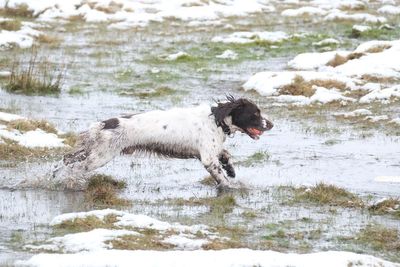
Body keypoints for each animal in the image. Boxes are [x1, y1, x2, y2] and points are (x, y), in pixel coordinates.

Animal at [51, 96, 274, 191]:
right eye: (255, 114)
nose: (271, 124)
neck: (216, 120)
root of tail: (104, 124)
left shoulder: (211, 151)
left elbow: (226, 154)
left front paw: (231, 170)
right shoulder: (207, 158)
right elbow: (221, 177)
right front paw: (230, 185)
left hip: (93, 150)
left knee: (65, 159)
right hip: (101, 155)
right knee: (75, 168)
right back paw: (70, 183)